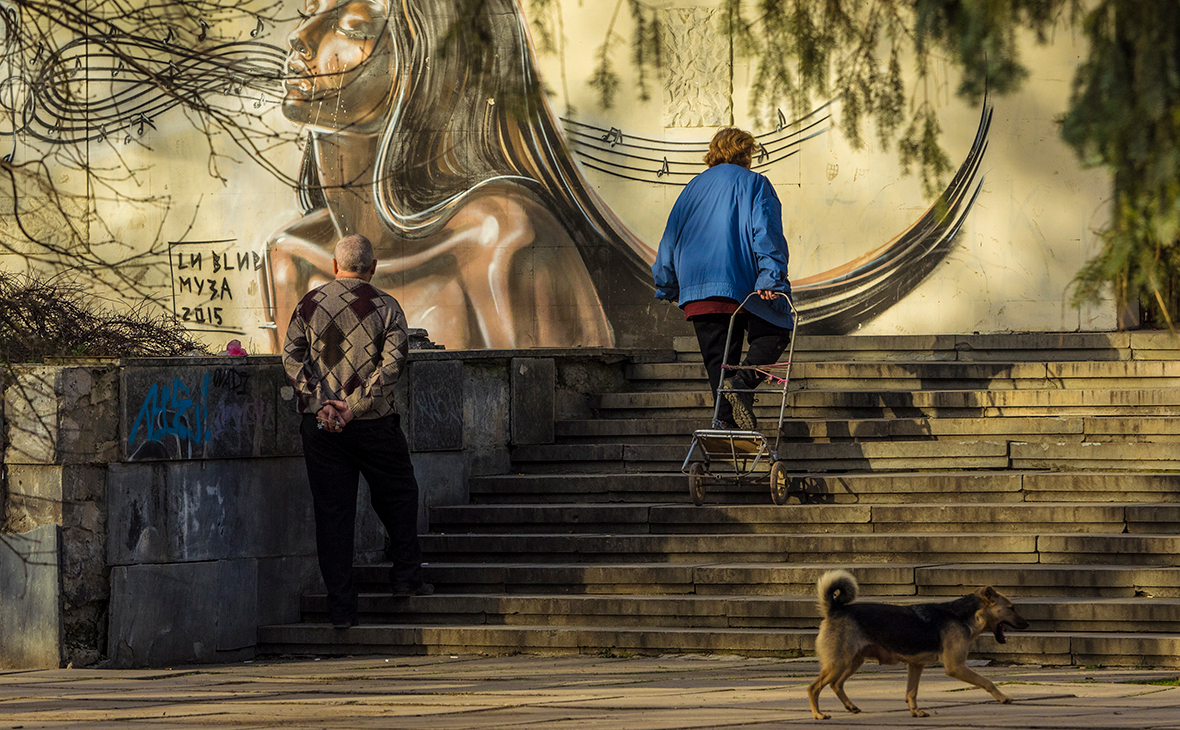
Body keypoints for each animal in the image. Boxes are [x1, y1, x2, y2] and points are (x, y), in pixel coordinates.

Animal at [807, 570, 1028, 721]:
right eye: (1011, 608)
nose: (1027, 624)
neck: (961, 615)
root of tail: (834, 609)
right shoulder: (955, 667)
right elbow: (987, 682)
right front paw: (1003, 697)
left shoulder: (915, 665)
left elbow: (911, 691)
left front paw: (915, 711)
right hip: (839, 662)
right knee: (814, 687)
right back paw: (818, 714)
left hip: (852, 661)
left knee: (836, 684)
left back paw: (850, 707)